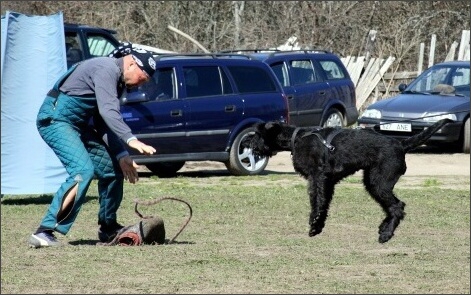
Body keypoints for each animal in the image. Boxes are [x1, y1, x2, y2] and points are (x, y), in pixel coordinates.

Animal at [251, 119, 454, 244]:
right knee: (393, 206)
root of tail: (401, 144)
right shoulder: (329, 182)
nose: (249, 144)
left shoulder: (318, 177)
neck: (296, 139)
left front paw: (314, 223)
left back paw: (386, 234)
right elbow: (325, 203)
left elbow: (317, 200)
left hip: (378, 182)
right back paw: (384, 228)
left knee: (397, 206)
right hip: (373, 182)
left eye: (258, 134)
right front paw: (319, 226)